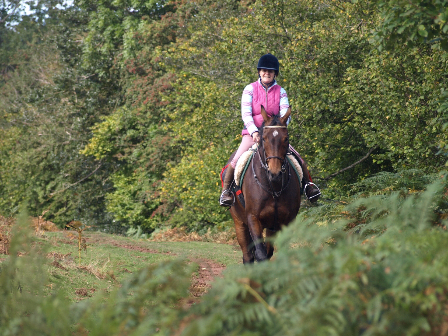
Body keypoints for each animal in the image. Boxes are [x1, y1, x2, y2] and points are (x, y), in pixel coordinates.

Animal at [224, 106, 300, 264]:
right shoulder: (253, 218)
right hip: (239, 223)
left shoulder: (286, 221)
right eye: (264, 138)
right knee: (248, 255)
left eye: (286, 138)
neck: (273, 188)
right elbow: (260, 254)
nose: (275, 173)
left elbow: (273, 252)